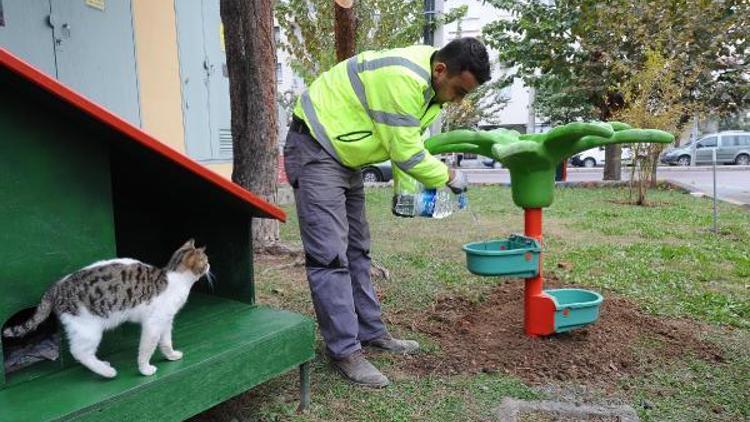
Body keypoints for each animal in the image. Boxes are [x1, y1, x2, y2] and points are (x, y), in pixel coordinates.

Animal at [2, 237, 210, 380]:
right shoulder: (153, 325)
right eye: (206, 261)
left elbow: (166, 342)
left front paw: (171, 355)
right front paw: (145, 369)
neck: (175, 279)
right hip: (88, 329)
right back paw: (107, 372)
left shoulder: (165, 322)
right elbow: (146, 349)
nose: (210, 265)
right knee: (79, 353)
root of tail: (57, 286)